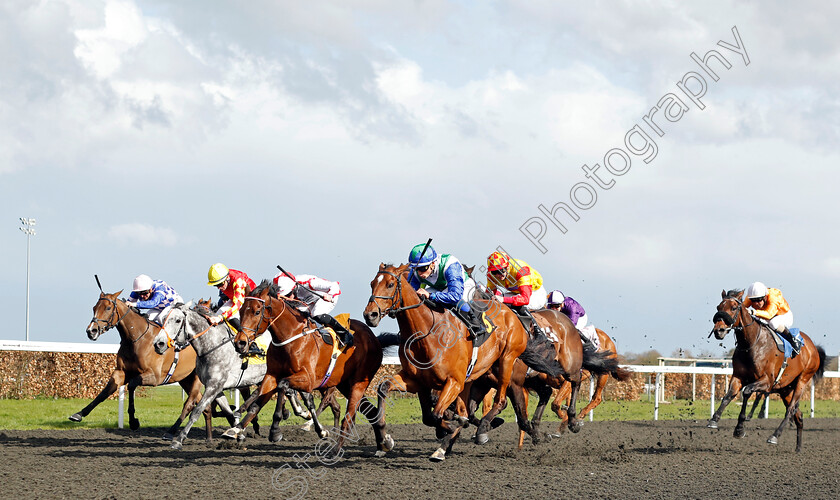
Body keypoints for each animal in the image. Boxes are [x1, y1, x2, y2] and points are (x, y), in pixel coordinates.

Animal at [76, 292, 223, 440]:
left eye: (108, 308)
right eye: (94, 308)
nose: (91, 331)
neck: (136, 339)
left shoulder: (155, 377)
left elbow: (132, 385)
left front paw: (133, 422)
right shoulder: (121, 372)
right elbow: (105, 392)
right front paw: (79, 414)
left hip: (197, 378)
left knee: (189, 404)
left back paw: (171, 432)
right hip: (185, 379)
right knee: (205, 407)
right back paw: (209, 438)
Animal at [221, 280, 388, 456]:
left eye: (257, 311)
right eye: (240, 311)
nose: (240, 343)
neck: (289, 338)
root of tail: (373, 338)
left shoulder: (308, 380)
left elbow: (283, 385)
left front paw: (275, 430)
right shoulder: (271, 375)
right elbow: (257, 402)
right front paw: (236, 428)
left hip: (359, 382)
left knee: (349, 416)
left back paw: (336, 449)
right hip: (344, 383)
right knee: (370, 412)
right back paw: (383, 443)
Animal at [362, 264, 564, 462]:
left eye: (390, 284)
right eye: (371, 284)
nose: (370, 315)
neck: (426, 333)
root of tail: (512, 315)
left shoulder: (454, 381)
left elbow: (437, 414)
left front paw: (450, 427)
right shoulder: (419, 381)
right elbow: (390, 392)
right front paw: (385, 439)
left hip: (507, 362)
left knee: (502, 401)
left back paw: (483, 430)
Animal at [708, 288, 828, 452]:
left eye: (733, 307)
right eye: (718, 307)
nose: (718, 330)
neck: (751, 344)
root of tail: (813, 347)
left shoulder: (767, 381)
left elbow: (747, 392)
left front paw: (739, 428)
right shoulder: (738, 376)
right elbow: (728, 395)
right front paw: (714, 419)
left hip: (802, 381)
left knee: (790, 410)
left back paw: (774, 436)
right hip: (785, 389)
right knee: (799, 415)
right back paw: (798, 448)